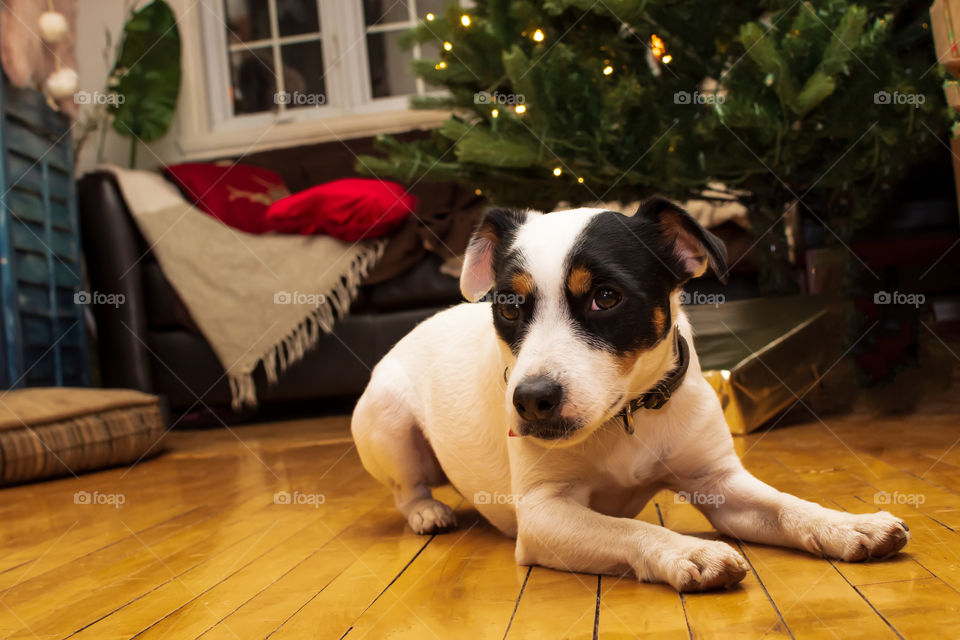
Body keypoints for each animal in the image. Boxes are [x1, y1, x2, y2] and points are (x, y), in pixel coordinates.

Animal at [350, 198, 908, 592]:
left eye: (606, 297)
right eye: (508, 306)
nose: (530, 400)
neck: (624, 417)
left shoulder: (719, 483)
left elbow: (787, 505)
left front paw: (848, 524)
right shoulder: (544, 513)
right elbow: (629, 530)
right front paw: (689, 552)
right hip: (387, 420)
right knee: (407, 488)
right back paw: (427, 512)